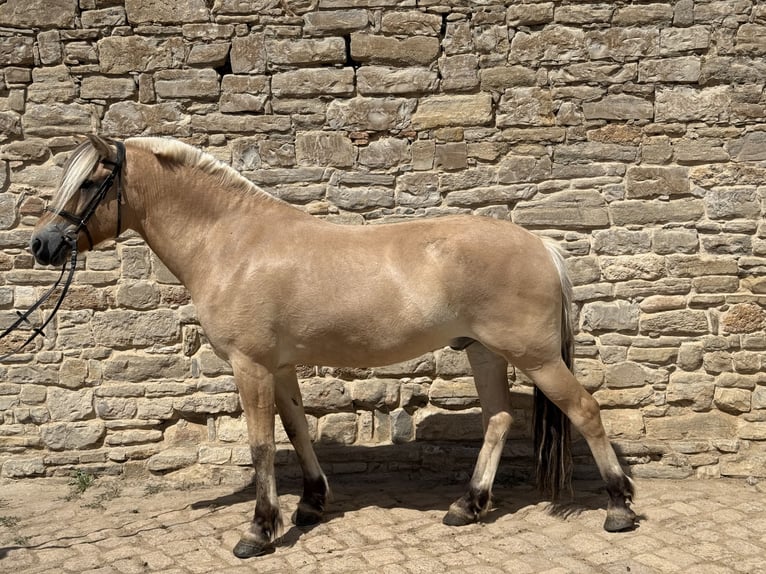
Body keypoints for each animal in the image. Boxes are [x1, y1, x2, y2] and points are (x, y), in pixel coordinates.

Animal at [29, 135, 636, 558]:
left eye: (90, 183)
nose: (42, 244)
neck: (232, 245)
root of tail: (541, 245)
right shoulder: (279, 367)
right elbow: (297, 429)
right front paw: (310, 505)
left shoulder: (250, 366)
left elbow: (260, 445)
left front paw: (258, 531)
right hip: (483, 351)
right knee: (499, 420)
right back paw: (467, 505)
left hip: (535, 356)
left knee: (584, 410)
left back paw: (618, 507)